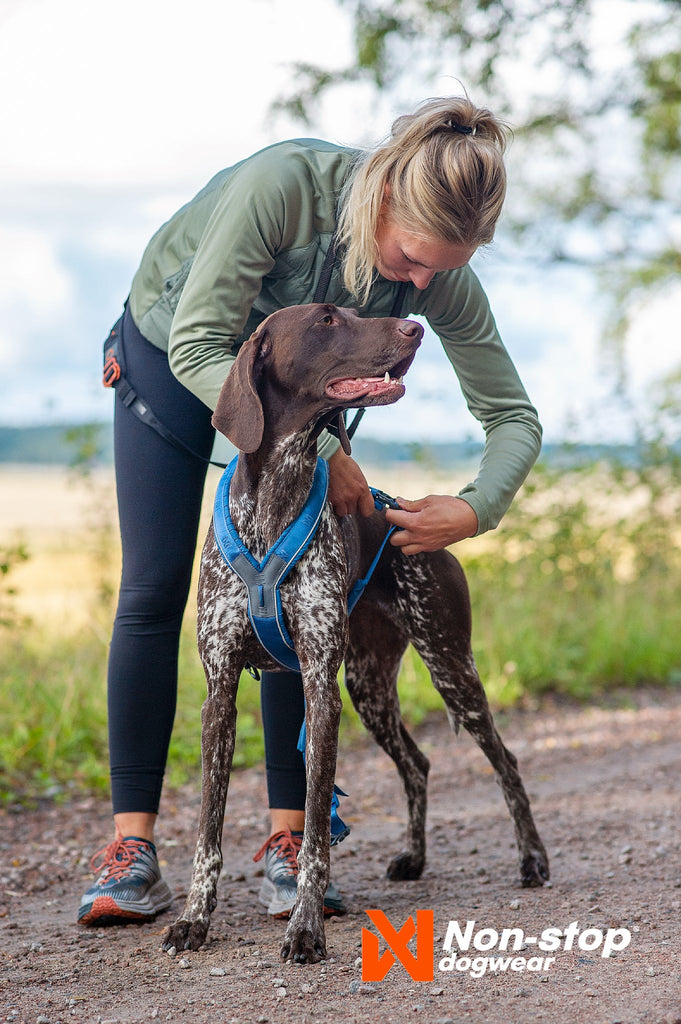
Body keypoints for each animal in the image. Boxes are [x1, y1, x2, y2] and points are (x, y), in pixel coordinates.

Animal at [159, 301, 548, 958]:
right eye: (327, 319)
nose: (415, 328)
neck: (276, 497)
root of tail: (408, 512)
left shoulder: (320, 688)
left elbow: (317, 829)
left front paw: (306, 928)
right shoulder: (220, 694)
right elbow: (209, 830)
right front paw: (194, 919)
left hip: (450, 667)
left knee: (507, 761)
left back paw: (532, 859)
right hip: (369, 687)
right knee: (418, 764)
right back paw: (413, 857)